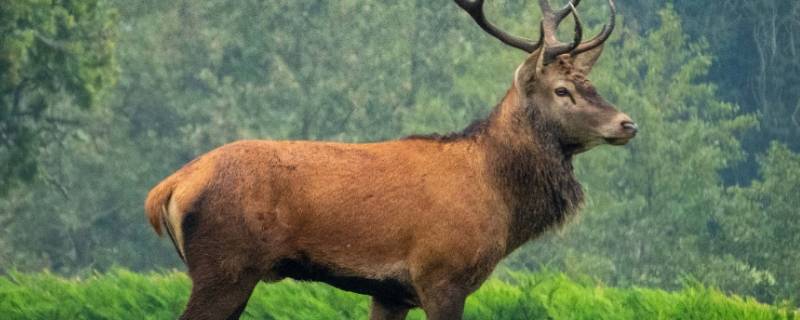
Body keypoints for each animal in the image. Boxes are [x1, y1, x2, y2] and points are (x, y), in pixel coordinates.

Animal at [145, 1, 636, 318]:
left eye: (592, 85)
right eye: (562, 90)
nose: (627, 123)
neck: (499, 199)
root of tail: (168, 188)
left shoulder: (391, 291)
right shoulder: (442, 274)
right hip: (225, 266)